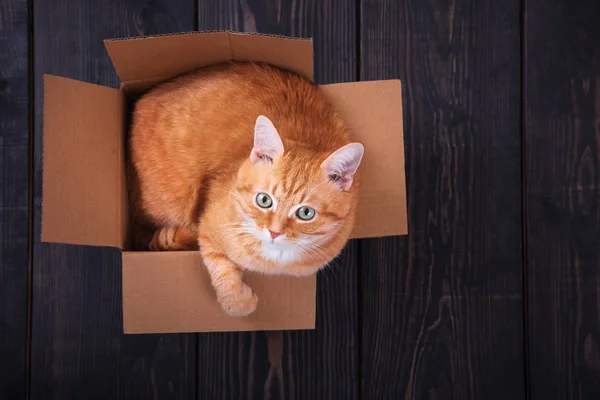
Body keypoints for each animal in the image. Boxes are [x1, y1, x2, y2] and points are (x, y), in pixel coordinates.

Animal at [128, 61, 364, 316]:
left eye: (305, 213)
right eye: (264, 200)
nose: (274, 232)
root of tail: (143, 99)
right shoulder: (209, 226)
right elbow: (220, 264)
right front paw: (238, 302)